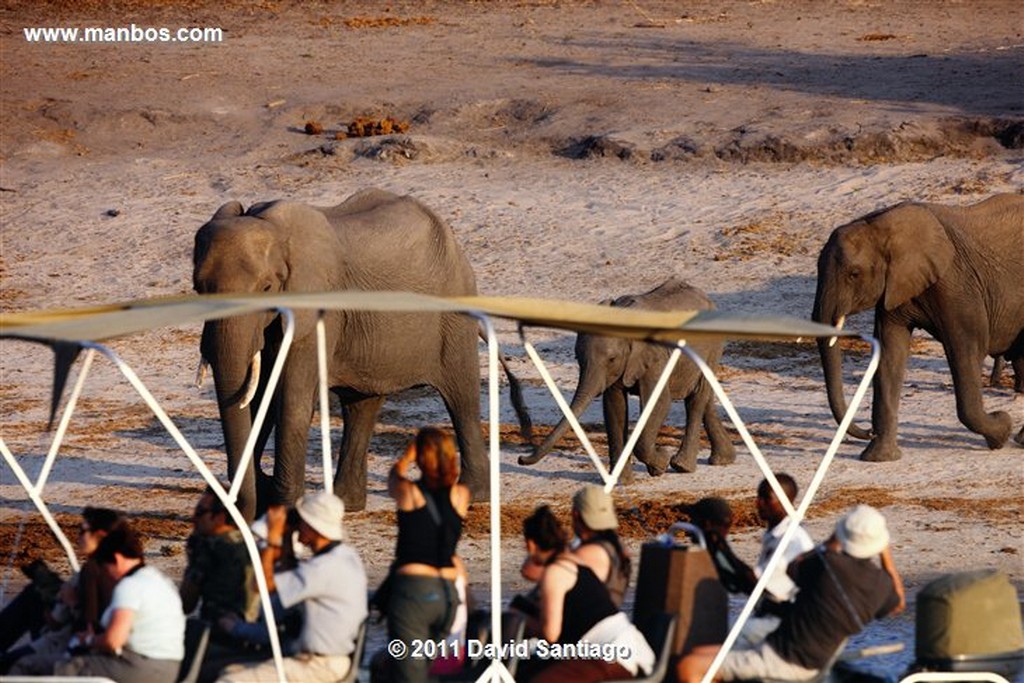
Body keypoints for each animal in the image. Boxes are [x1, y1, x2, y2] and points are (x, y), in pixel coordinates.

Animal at [520, 274, 737, 483]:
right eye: (577, 358)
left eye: (612, 359)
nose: (521, 459)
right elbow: (614, 407)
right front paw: (622, 481)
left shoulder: (654, 356)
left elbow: (659, 402)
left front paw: (660, 464)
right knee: (703, 396)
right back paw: (723, 459)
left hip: (713, 346)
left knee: (696, 399)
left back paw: (682, 466)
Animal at [811, 192, 1019, 462]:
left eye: (854, 274)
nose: (867, 431)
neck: (880, 225)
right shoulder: (895, 286)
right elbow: (890, 355)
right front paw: (878, 457)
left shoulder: (957, 284)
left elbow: (967, 349)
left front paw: (1002, 430)